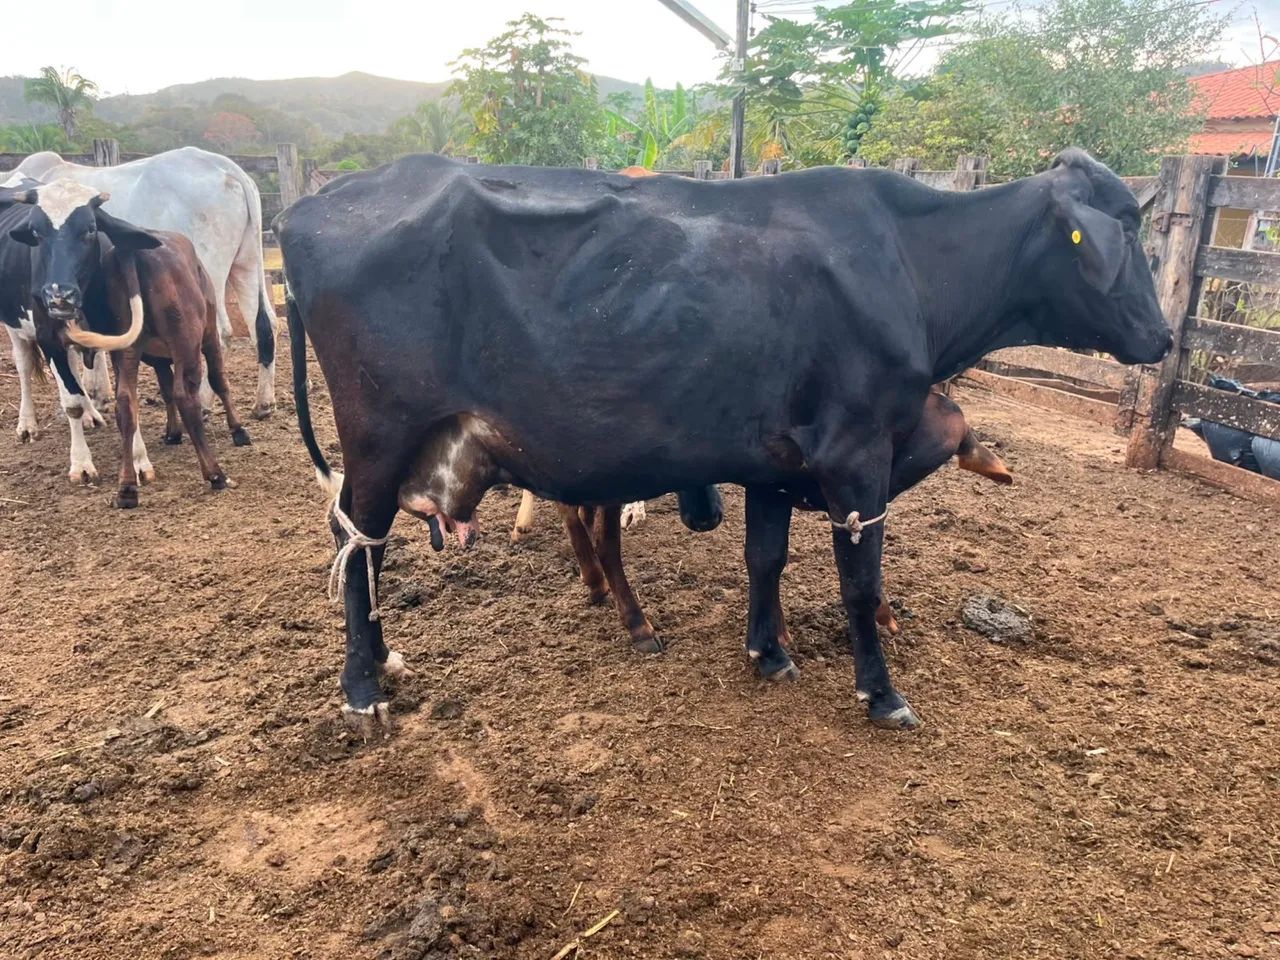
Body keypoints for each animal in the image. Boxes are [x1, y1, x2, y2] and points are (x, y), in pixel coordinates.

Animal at [4, 180, 250, 506]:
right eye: (36, 233)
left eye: (90, 229)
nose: (58, 295)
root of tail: (134, 255)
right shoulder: (199, 339)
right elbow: (207, 383)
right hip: (184, 343)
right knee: (183, 395)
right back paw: (213, 473)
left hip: (141, 347)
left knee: (128, 401)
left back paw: (127, 480)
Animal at [12, 148, 277, 418]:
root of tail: (228, 168)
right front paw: (98, 395)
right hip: (245, 264)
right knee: (265, 325)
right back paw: (263, 402)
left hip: (211, 273)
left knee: (221, 332)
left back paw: (204, 401)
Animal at [278, 148, 1170, 735]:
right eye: (1124, 232)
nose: (1163, 337)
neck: (908, 266)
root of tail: (309, 206)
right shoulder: (855, 453)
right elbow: (858, 583)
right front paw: (880, 694)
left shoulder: (776, 460)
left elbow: (764, 557)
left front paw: (767, 652)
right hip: (377, 435)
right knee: (357, 546)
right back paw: (361, 690)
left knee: (363, 545)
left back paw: (384, 664)